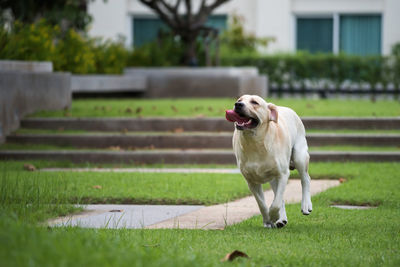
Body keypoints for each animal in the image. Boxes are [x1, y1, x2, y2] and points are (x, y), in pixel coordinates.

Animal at [225, 94, 312, 228]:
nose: (238, 105)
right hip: (273, 178)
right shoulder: (251, 182)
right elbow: (262, 204)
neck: (255, 143)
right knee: (279, 195)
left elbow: (275, 203)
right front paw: (268, 220)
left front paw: (273, 215)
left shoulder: (283, 174)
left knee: (305, 179)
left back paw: (306, 205)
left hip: (299, 156)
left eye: (254, 102)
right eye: (239, 100)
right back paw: (282, 219)